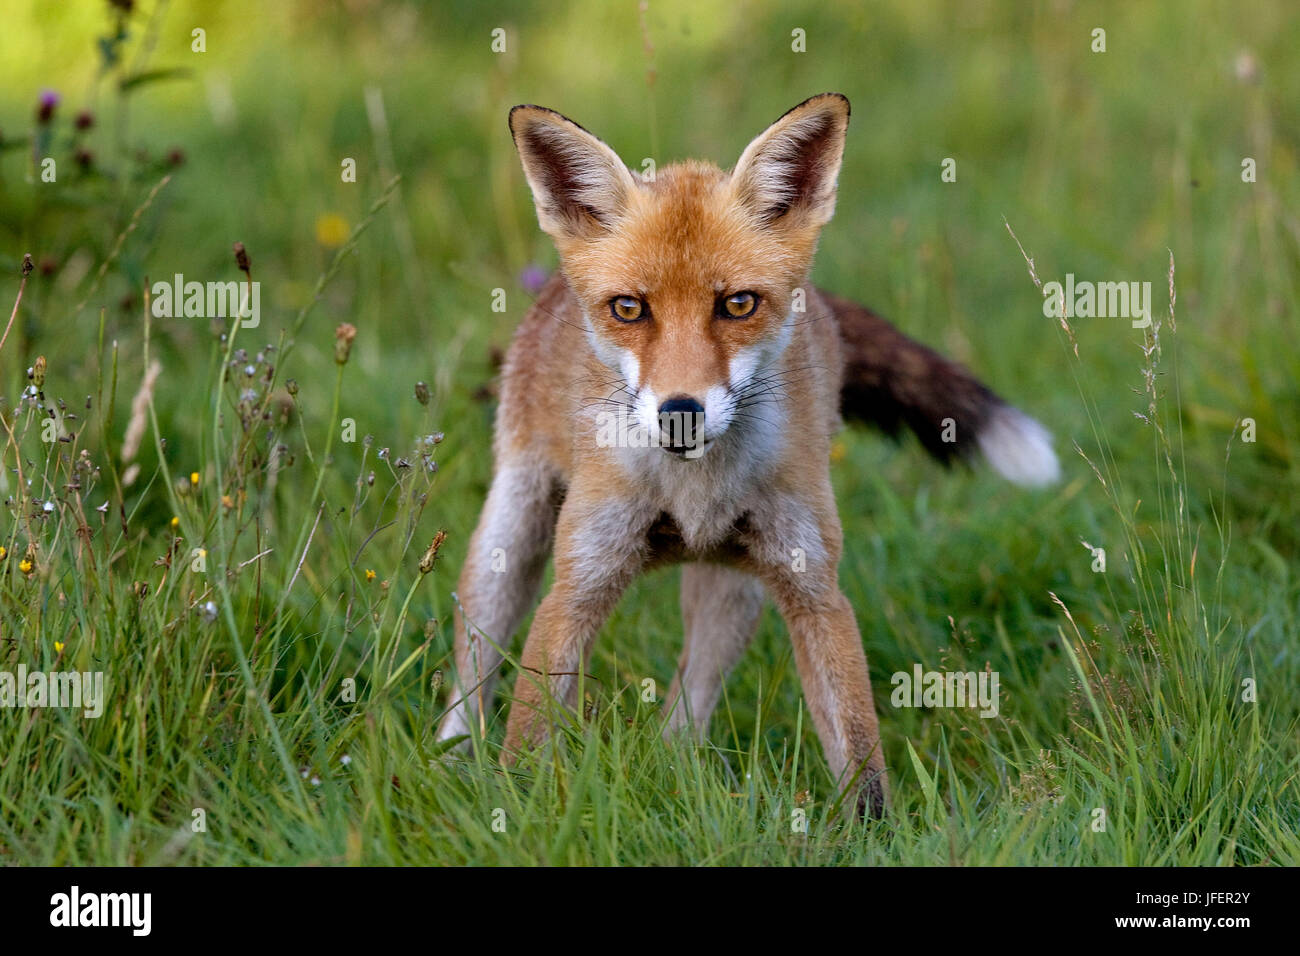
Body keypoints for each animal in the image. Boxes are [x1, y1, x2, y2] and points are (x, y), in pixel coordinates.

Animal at [436, 93, 1059, 816]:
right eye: (629, 309)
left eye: (737, 304)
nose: (680, 413)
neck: (693, 489)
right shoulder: (579, 583)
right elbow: (528, 736)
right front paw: (516, 814)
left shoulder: (814, 588)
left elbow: (859, 755)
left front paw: (877, 833)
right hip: (509, 539)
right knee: (472, 674)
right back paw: (448, 760)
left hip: (734, 592)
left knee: (685, 711)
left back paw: (678, 777)